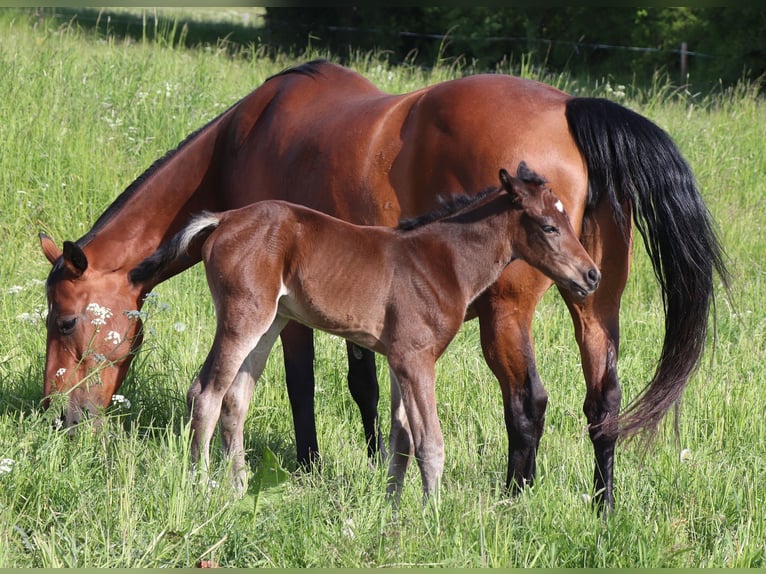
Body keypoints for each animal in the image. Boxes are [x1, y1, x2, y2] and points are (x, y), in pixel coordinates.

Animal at [130, 163, 601, 499]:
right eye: (549, 226)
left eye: (570, 221)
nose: (591, 275)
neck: (441, 261)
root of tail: (223, 219)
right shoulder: (416, 358)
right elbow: (431, 442)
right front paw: (433, 517)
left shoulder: (397, 359)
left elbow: (401, 439)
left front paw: (391, 509)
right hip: (242, 317)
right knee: (205, 393)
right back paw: (199, 485)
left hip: (270, 324)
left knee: (235, 400)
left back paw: (240, 487)